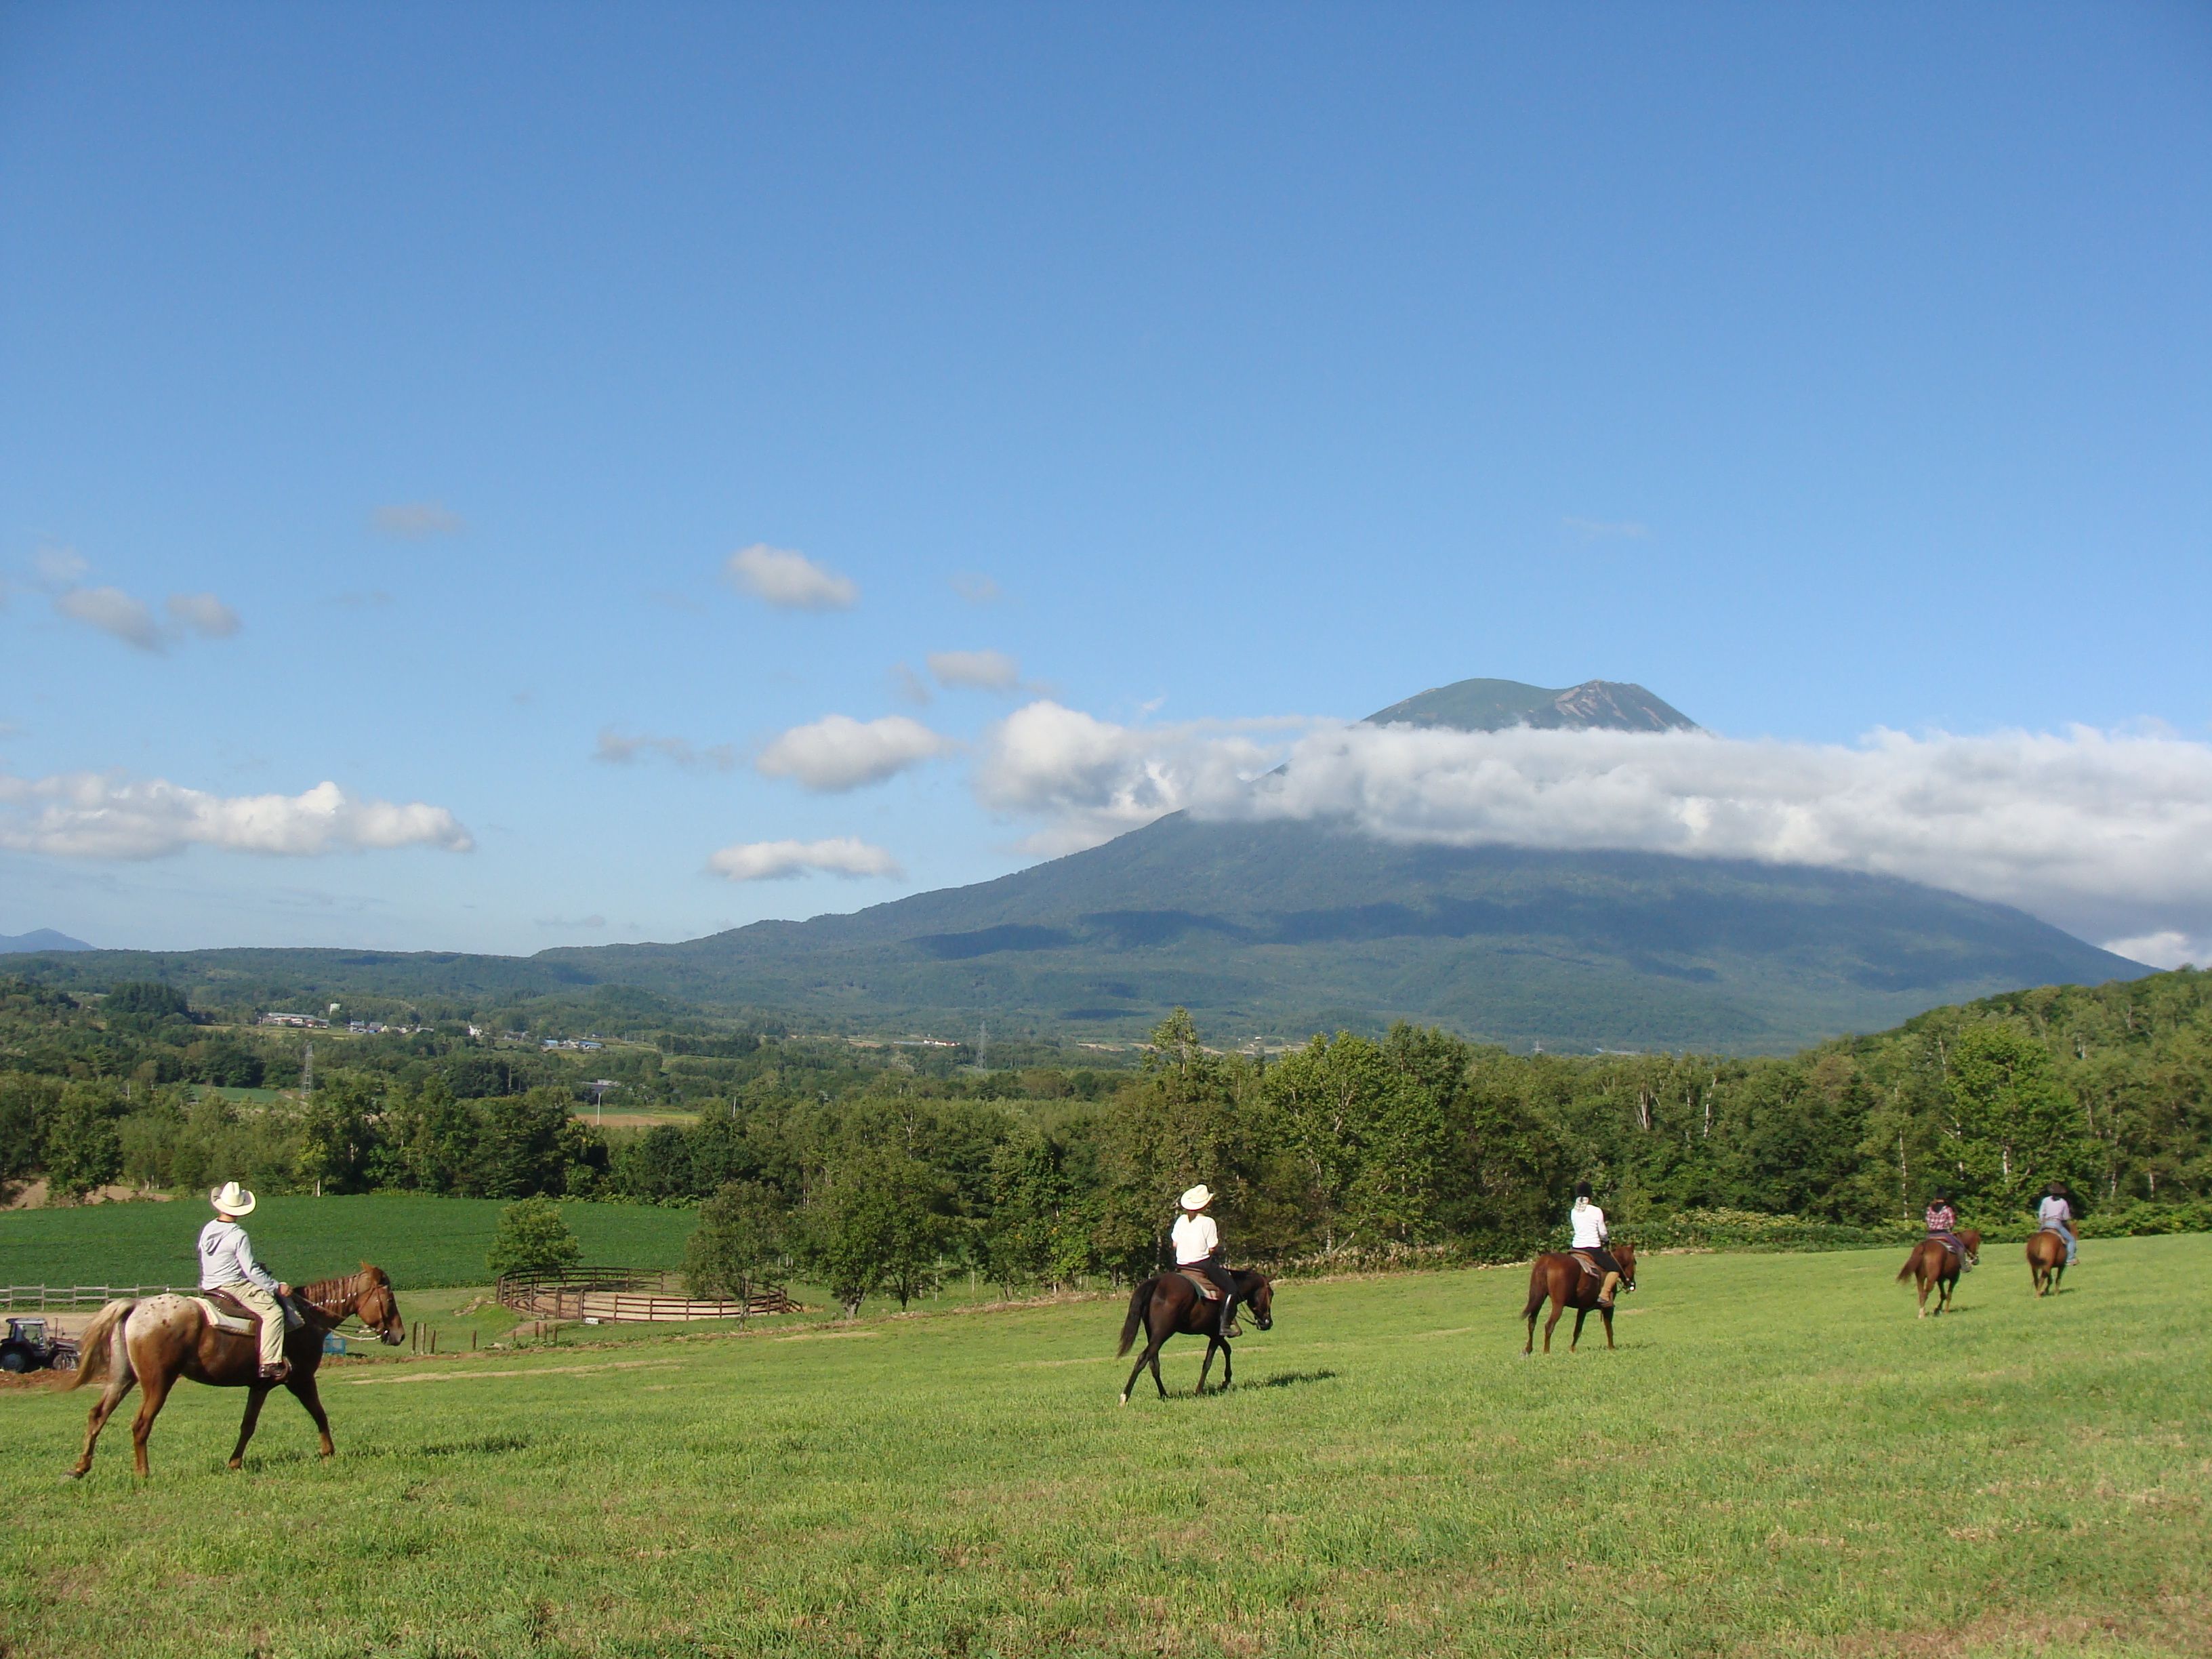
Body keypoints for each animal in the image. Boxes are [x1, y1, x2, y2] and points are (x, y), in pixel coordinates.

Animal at [60, 1264, 405, 1478]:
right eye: (389, 1299)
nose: (400, 1335)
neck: (308, 1317)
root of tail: (136, 1307)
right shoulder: (301, 1379)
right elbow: (320, 1414)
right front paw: (328, 1453)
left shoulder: (261, 1385)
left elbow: (247, 1425)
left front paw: (235, 1463)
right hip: (158, 1382)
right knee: (141, 1423)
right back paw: (143, 1472)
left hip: (123, 1378)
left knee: (98, 1415)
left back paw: (80, 1468)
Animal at [1116, 1267, 1274, 1403]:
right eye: (1271, 1294)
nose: (1268, 1323)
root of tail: (1157, 1282)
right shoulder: (1217, 1335)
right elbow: (1208, 1362)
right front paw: (1199, 1391)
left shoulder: (1212, 1333)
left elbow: (1227, 1350)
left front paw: (1226, 1381)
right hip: (1161, 1335)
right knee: (1143, 1358)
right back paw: (1125, 1396)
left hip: (1153, 1336)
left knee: (1154, 1364)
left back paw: (1164, 1394)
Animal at [1521, 1241, 1638, 1355]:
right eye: (1635, 1262)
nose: (1632, 1285)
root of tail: (1547, 1262)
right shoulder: (1608, 1308)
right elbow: (1609, 1328)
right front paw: (1612, 1348)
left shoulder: (1583, 1309)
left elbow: (1577, 1330)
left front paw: (1572, 1350)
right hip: (1558, 1304)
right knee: (1549, 1325)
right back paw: (1546, 1352)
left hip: (1539, 1298)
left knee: (1532, 1322)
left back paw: (1528, 1350)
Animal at [1896, 1230, 1981, 1317]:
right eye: (1979, 1241)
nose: (1976, 1260)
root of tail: (1925, 1246)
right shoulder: (1954, 1278)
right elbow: (1949, 1295)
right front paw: (1946, 1311)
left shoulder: (1940, 1279)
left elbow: (1943, 1295)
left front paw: (1938, 1309)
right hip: (1931, 1279)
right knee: (1926, 1293)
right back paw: (1922, 1314)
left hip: (1920, 1278)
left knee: (1921, 1293)